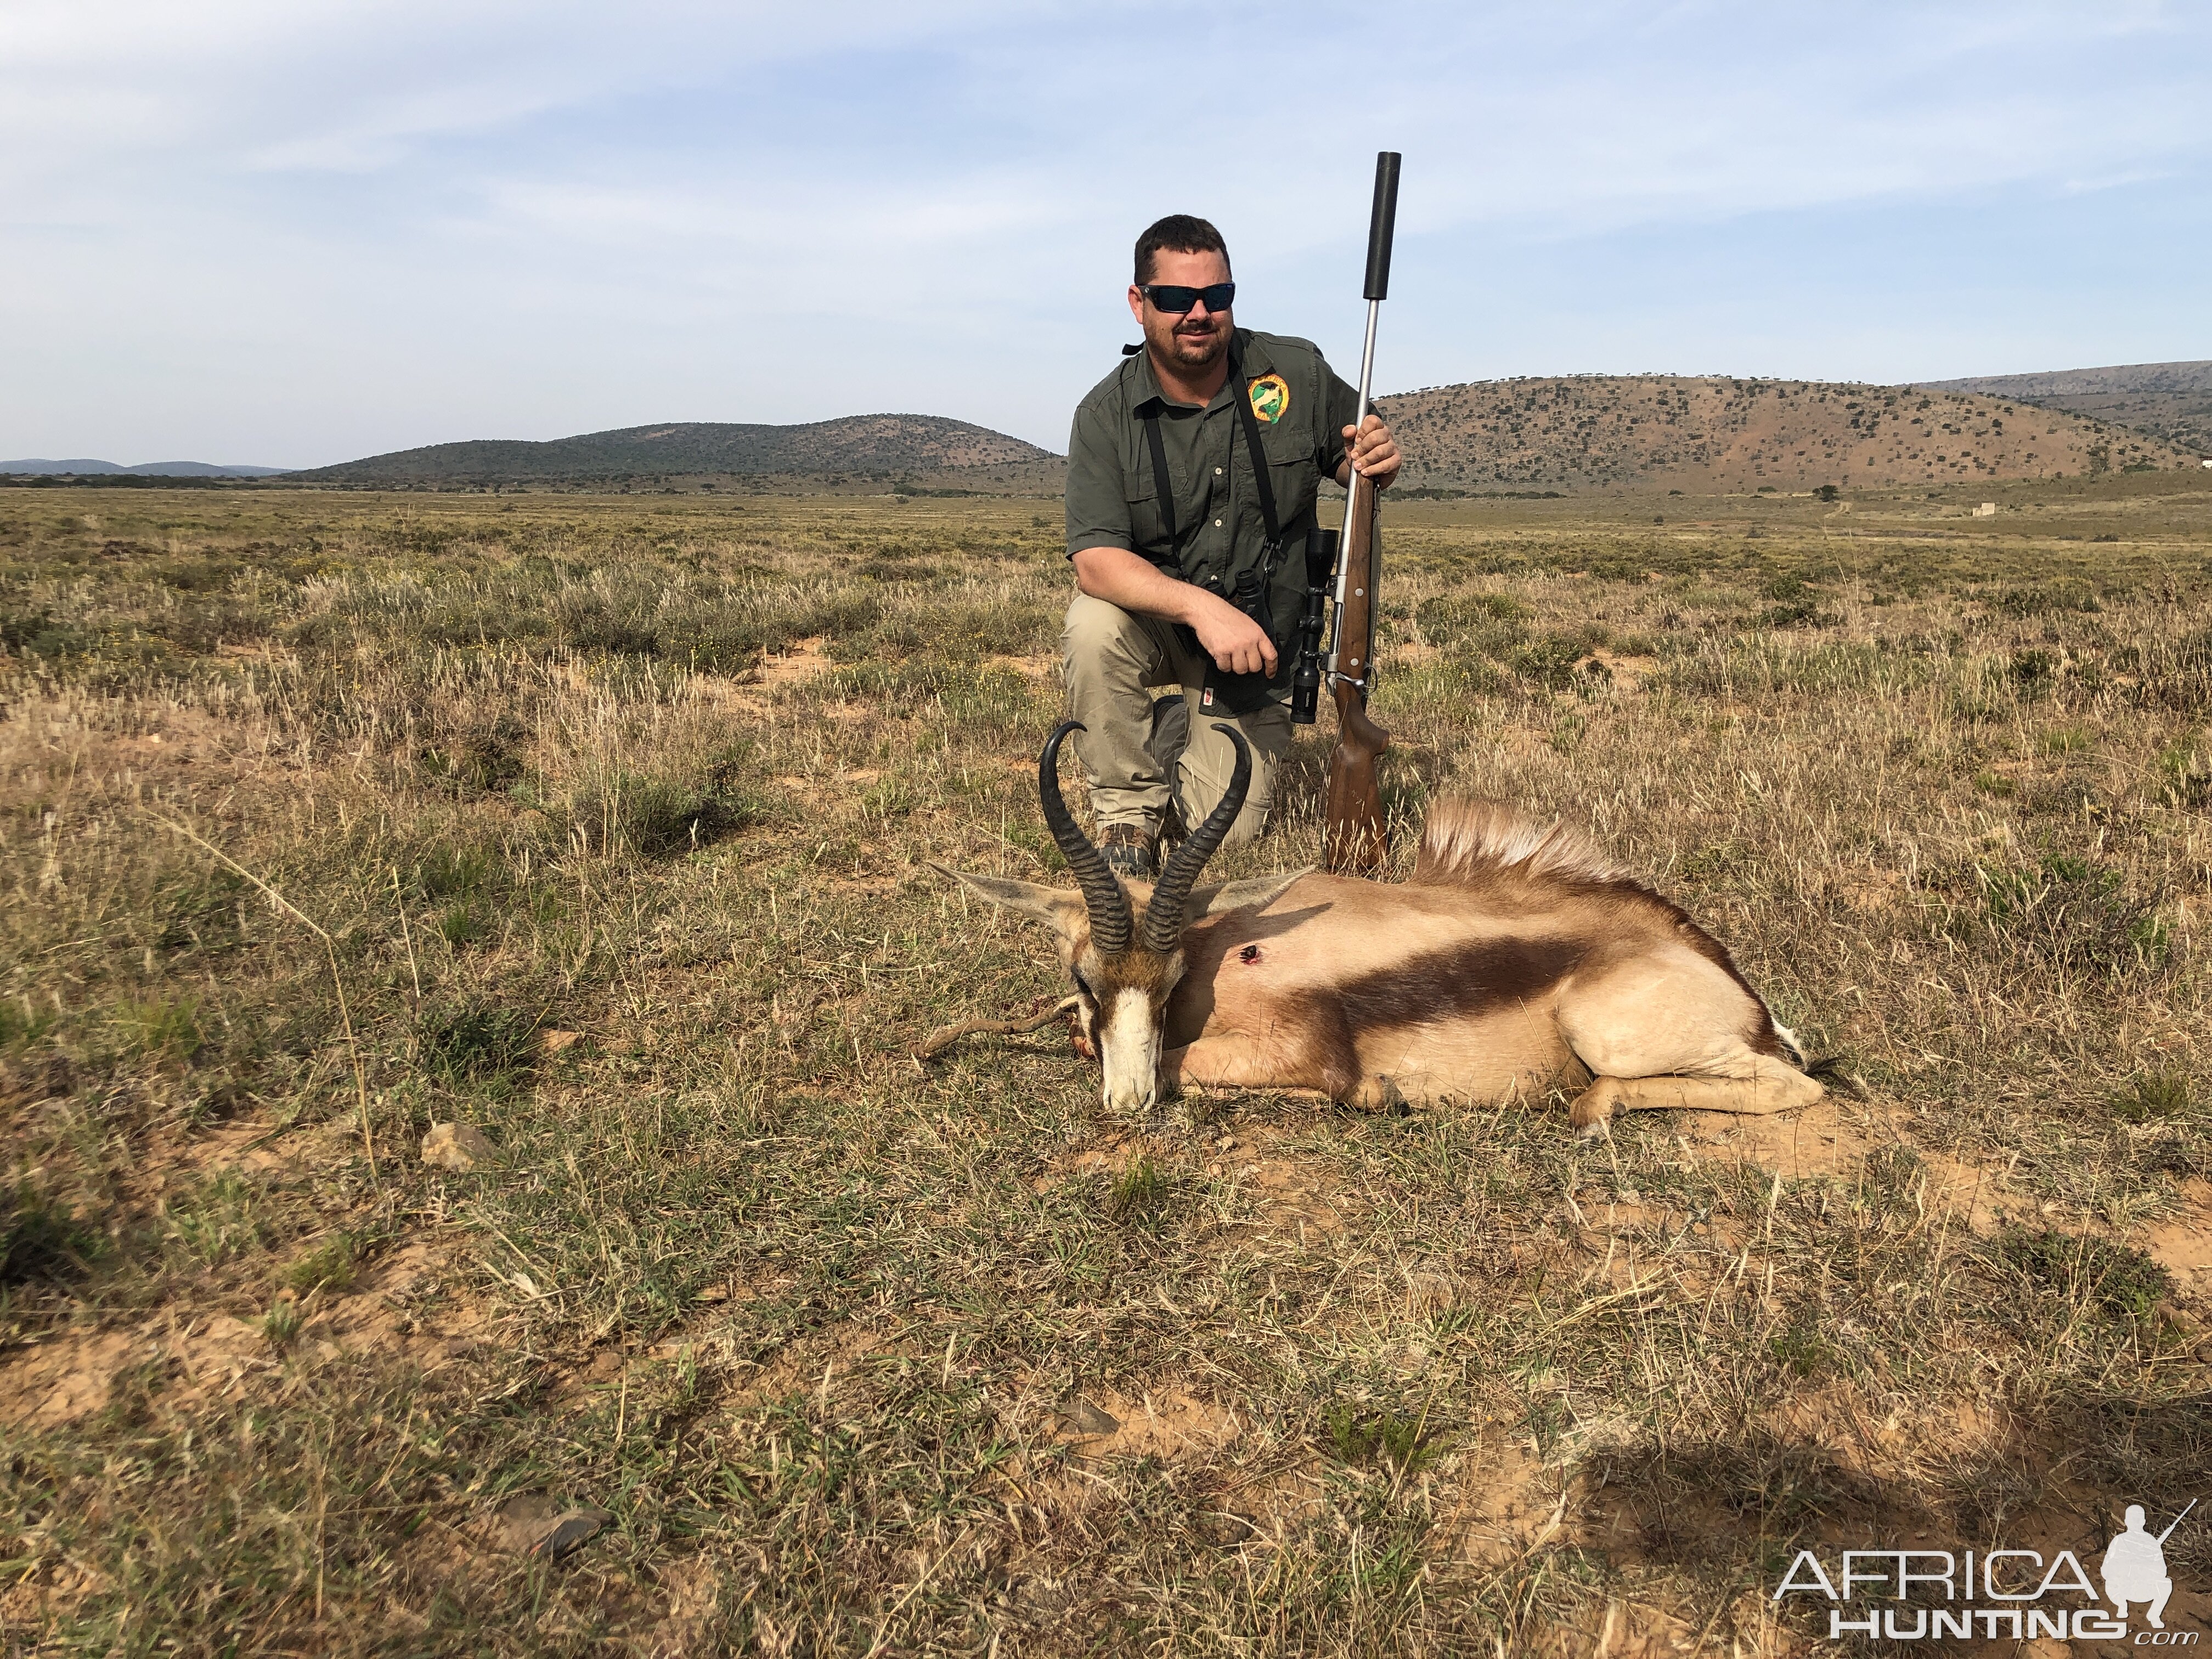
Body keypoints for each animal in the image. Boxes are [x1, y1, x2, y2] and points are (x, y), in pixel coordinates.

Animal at [933, 721, 1814, 1141]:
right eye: (1085, 978)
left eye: (1173, 977)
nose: (1128, 1102)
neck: (1229, 947)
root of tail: (1738, 989)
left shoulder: (1297, 1053)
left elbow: (1196, 1066)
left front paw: (1376, 1094)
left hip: (1606, 1033)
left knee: (1795, 1087)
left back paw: (1592, 1109)